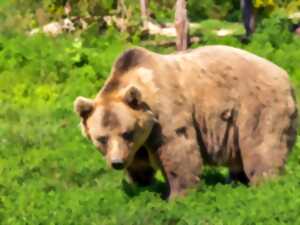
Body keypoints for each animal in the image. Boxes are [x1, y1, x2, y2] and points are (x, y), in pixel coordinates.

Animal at [74, 45, 296, 199]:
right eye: (102, 138)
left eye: (127, 133)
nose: (117, 162)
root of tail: (285, 75)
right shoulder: (139, 142)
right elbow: (139, 164)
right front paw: (140, 186)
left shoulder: (166, 114)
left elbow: (178, 152)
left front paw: (178, 196)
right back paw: (236, 182)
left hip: (257, 106)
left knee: (262, 145)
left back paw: (264, 185)